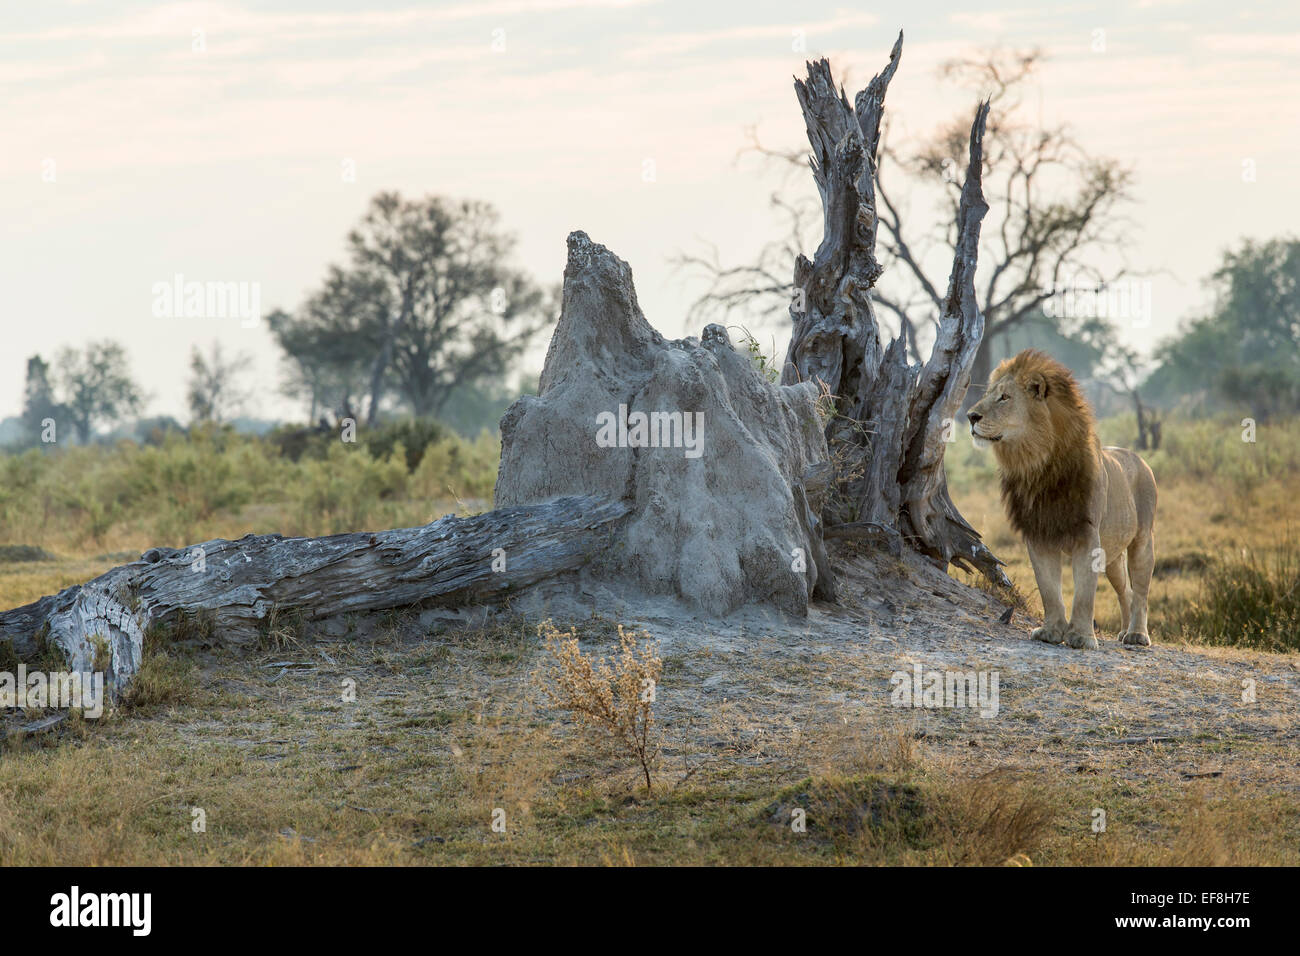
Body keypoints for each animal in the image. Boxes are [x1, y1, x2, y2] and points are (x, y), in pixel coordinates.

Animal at [966, 349, 1157, 650]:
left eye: (1004, 397)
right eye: (988, 394)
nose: (970, 416)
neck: (1037, 464)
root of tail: (1141, 459)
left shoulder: (1087, 535)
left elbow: (1085, 593)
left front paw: (1081, 637)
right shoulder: (1038, 534)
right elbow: (1049, 589)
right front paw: (1051, 632)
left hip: (1142, 539)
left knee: (1141, 591)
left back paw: (1137, 634)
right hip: (1113, 555)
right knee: (1125, 590)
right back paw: (1123, 631)